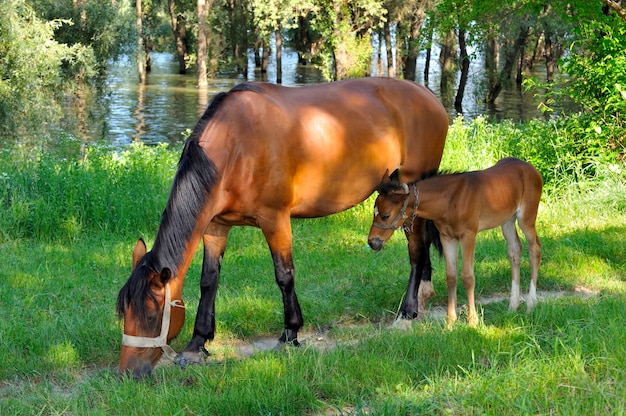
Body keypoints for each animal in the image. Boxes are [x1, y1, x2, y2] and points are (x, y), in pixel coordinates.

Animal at [116, 76, 448, 378]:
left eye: (150, 314)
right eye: (124, 312)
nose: (128, 372)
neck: (236, 145)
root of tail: (429, 98)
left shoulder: (274, 219)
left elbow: (284, 275)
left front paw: (290, 334)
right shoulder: (215, 227)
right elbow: (208, 281)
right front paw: (197, 344)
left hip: (411, 190)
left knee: (416, 250)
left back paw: (408, 311)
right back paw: (424, 293)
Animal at [368, 158, 540, 326]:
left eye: (385, 215)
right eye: (374, 211)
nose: (372, 242)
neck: (450, 200)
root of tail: (532, 169)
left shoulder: (468, 235)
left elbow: (468, 277)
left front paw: (473, 321)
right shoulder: (447, 237)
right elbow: (451, 276)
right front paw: (450, 321)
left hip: (526, 217)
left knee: (535, 249)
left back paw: (531, 304)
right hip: (507, 221)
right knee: (515, 251)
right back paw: (513, 306)